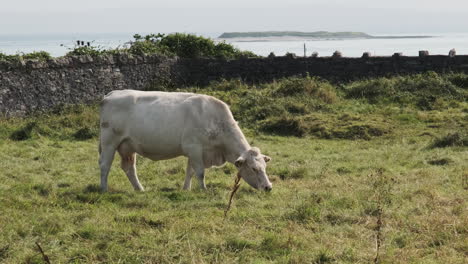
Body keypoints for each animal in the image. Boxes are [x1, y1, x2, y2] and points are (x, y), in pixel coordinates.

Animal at [99, 89, 274, 191]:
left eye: (265, 167)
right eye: (254, 168)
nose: (268, 187)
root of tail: (111, 94)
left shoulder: (195, 152)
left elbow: (190, 171)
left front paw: (186, 189)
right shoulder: (194, 147)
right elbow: (200, 173)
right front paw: (203, 190)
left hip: (128, 146)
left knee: (129, 168)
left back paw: (140, 189)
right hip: (109, 142)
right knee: (105, 165)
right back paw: (104, 189)